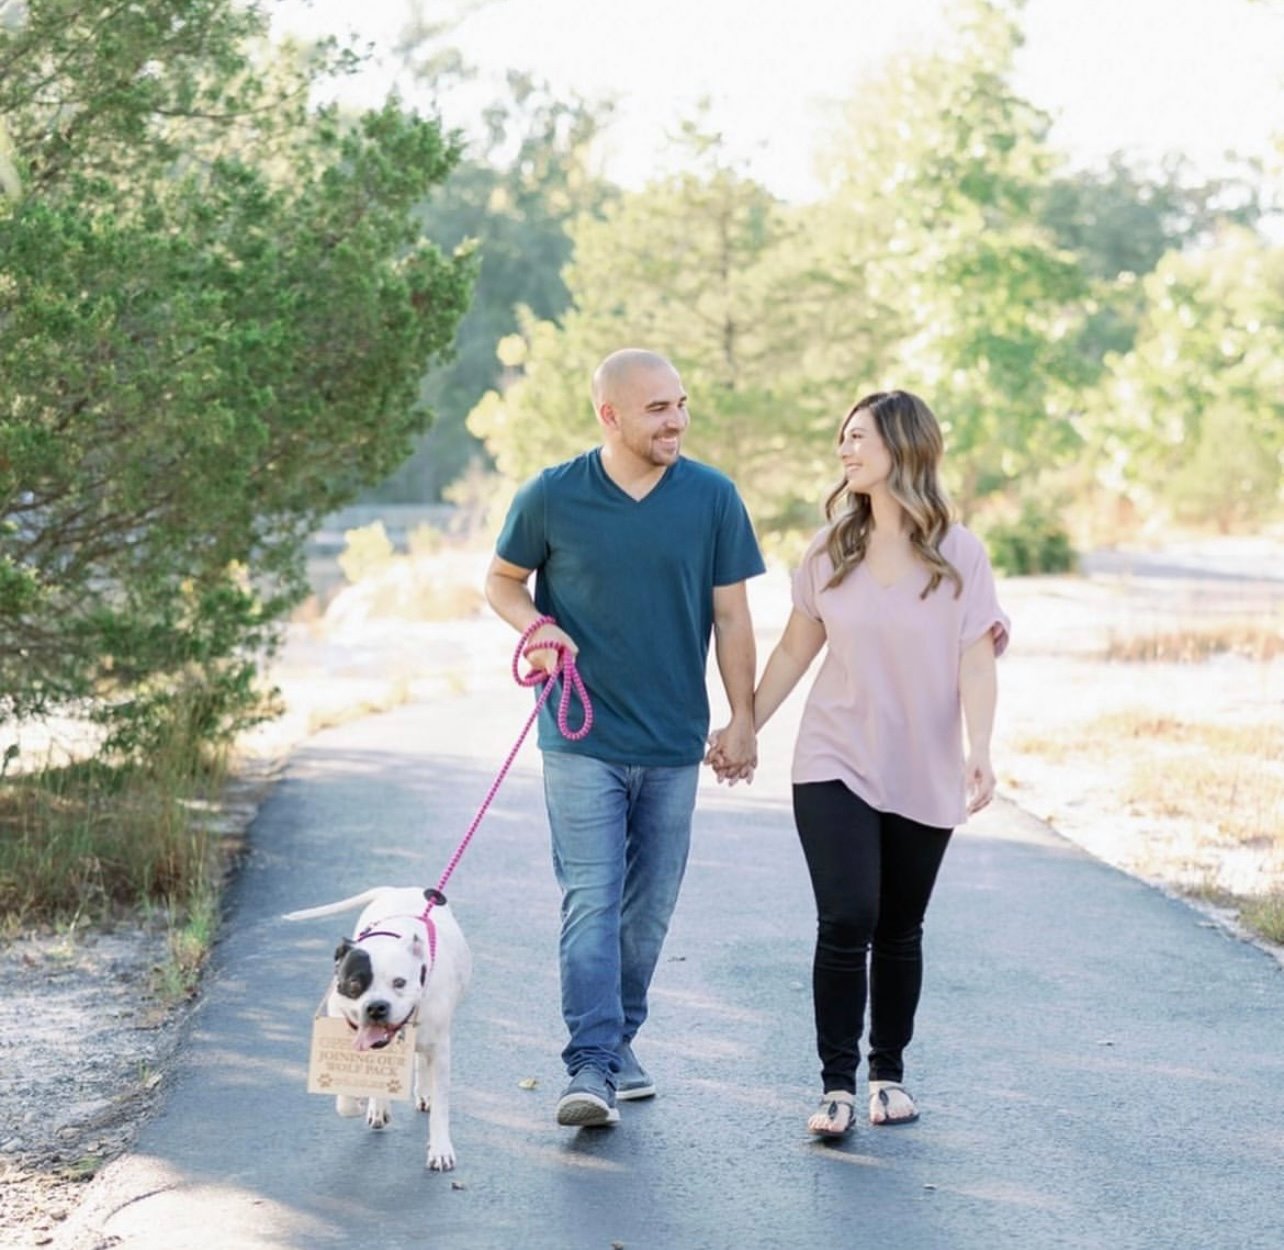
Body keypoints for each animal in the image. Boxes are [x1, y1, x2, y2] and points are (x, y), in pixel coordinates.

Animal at [283, 888, 475, 1170]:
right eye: (354, 984)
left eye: (399, 982)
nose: (376, 1007)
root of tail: (398, 889)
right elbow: (347, 1100)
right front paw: (357, 1103)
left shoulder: (440, 1050)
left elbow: (441, 1107)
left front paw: (440, 1149)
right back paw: (378, 1106)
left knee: (421, 1060)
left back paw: (422, 1093)